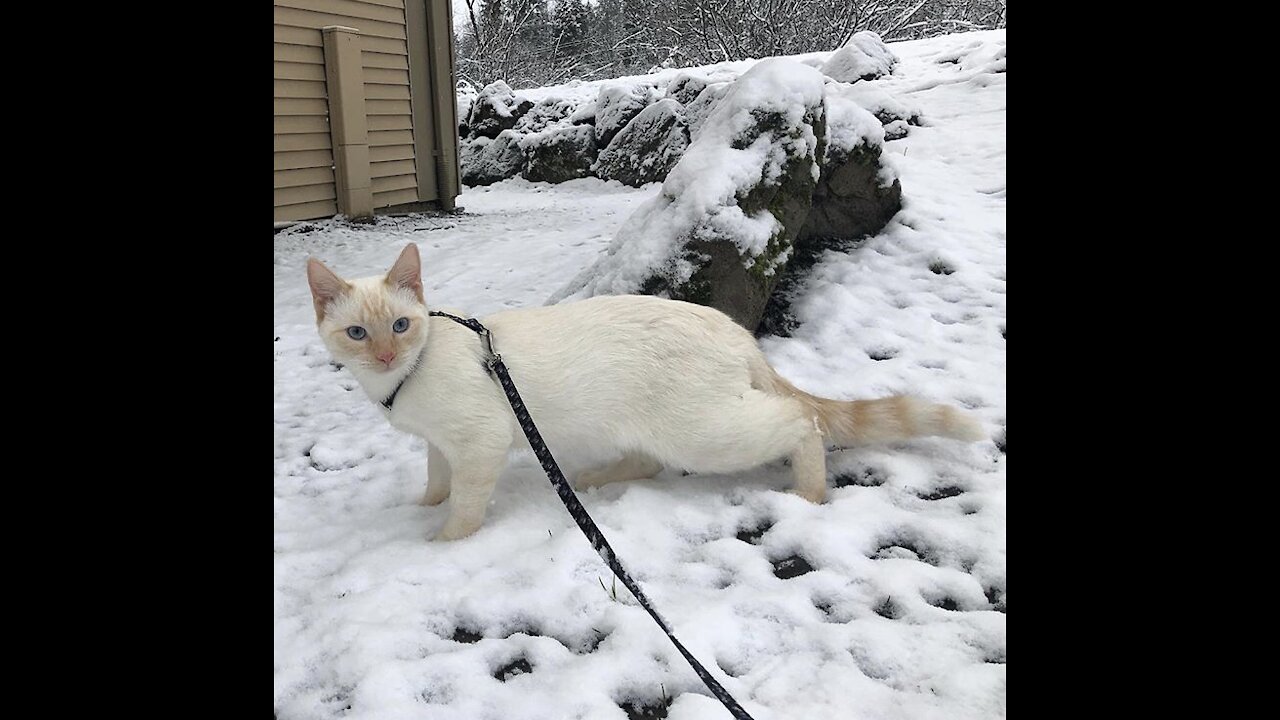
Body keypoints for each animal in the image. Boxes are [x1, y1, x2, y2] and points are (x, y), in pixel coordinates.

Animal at [304, 242, 983, 538]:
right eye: (358, 333)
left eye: (400, 325)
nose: (386, 354)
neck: (404, 379)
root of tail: (735, 330)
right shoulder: (439, 445)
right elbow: (435, 482)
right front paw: (423, 509)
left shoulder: (479, 443)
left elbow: (466, 507)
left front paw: (442, 541)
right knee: (649, 462)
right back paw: (595, 479)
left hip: (704, 434)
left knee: (799, 420)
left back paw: (810, 494)